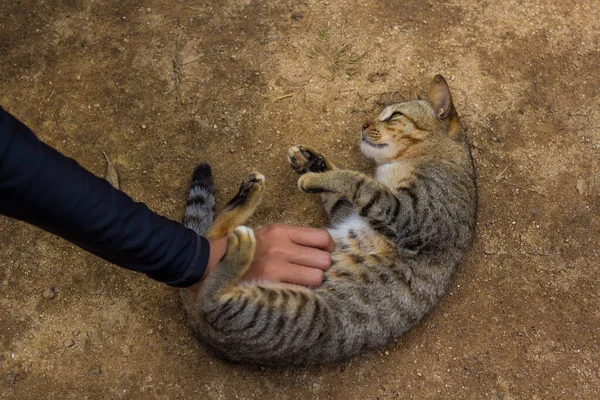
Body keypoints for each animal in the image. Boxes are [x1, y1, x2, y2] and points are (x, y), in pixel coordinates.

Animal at [180, 74, 476, 366]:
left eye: (394, 116)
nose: (364, 124)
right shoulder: (353, 210)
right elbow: (343, 191)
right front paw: (313, 162)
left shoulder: (411, 215)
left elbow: (357, 180)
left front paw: (314, 176)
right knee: (210, 240)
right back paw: (249, 195)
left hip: (303, 313)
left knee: (210, 298)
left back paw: (242, 245)